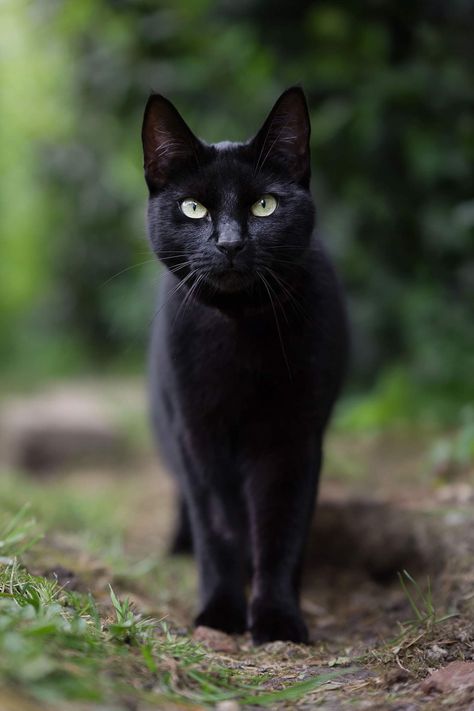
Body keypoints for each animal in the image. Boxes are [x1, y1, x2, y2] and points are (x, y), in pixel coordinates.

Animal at [141, 87, 348, 644]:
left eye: (264, 205)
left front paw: (277, 618)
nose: (230, 243)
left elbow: (282, 529)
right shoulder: (197, 434)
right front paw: (219, 612)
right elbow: (217, 530)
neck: (239, 334)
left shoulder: (293, 438)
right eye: (193, 208)